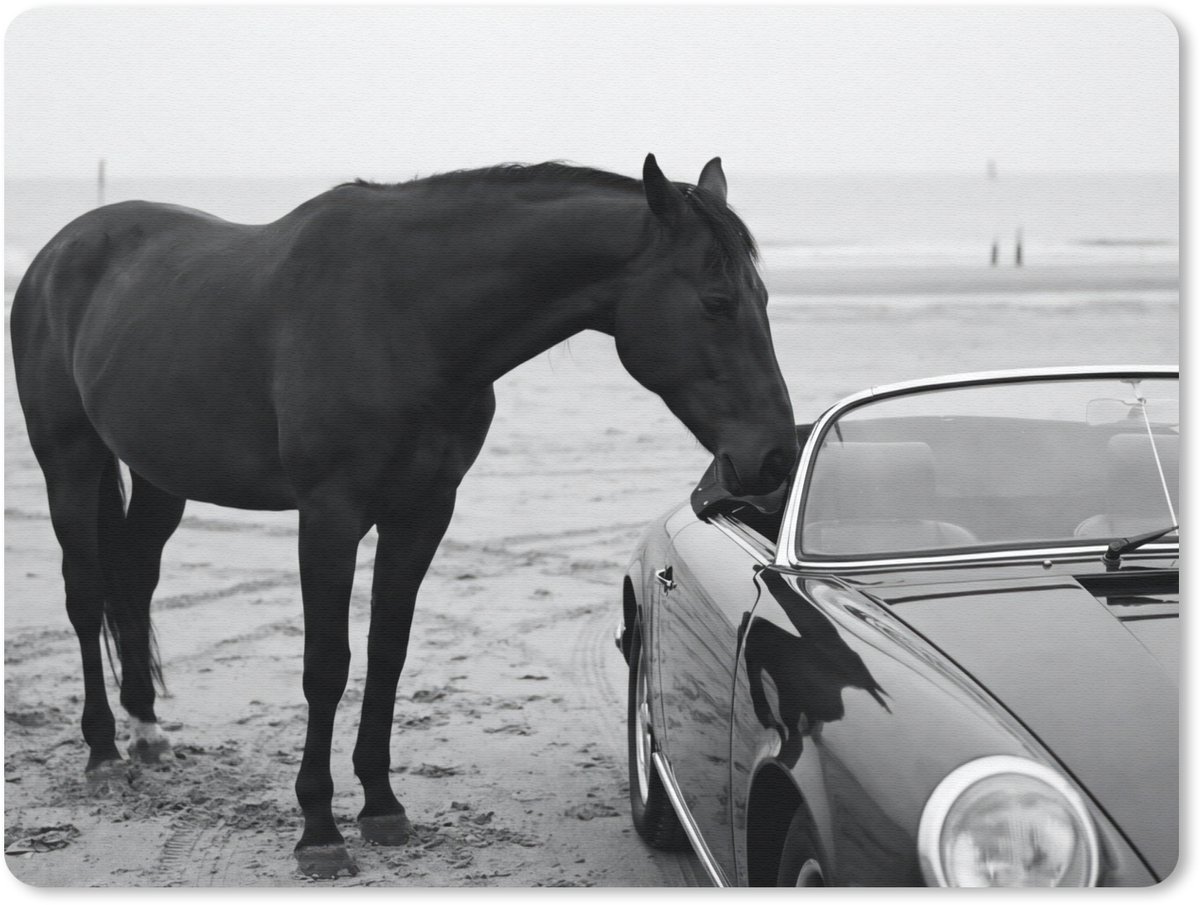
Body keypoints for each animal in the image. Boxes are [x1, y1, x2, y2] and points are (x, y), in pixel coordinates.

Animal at [10, 154, 797, 878]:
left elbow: (387, 652)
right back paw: (103, 752)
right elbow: (326, 664)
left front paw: (382, 806)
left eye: (764, 295)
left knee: (134, 578)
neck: (404, 314)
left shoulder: (421, 513)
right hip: (69, 463)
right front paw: (318, 829)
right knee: (85, 593)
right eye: (716, 301)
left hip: (158, 474)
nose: (774, 458)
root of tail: (59, 251)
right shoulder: (328, 515)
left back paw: (146, 730)